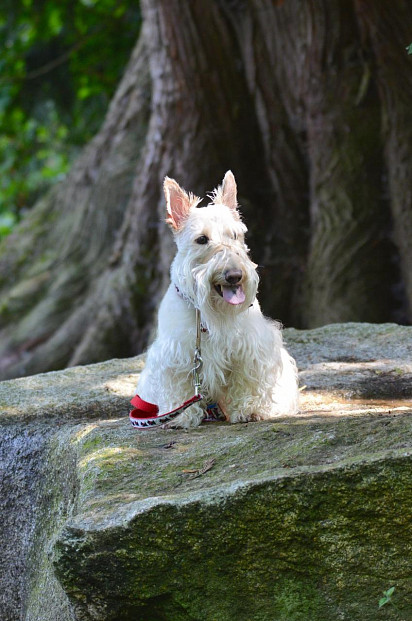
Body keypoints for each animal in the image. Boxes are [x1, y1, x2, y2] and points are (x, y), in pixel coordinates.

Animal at [132, 172, 300, 428]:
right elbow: (180, 385)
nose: (234, 275)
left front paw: (248, 409)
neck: (210, 313)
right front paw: (181, 415)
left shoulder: (251, 347)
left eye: (235, 235)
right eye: (202, 239)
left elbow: (246, 379)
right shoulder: (176, 353)